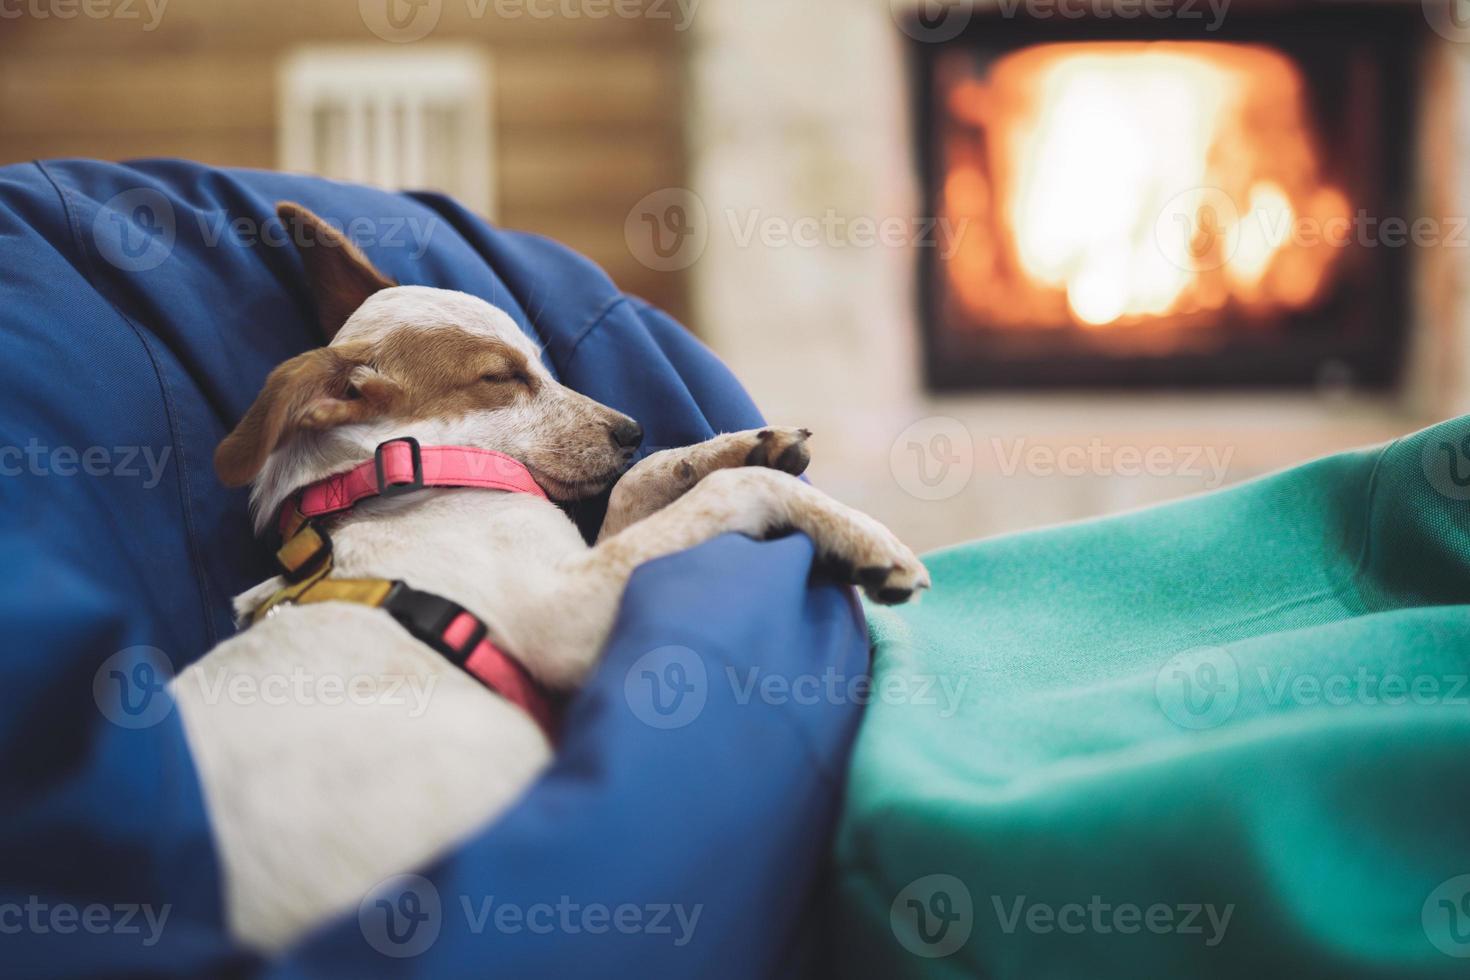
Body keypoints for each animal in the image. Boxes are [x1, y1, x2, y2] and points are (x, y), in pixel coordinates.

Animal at [174, 205, 929, 952]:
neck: (401, 478)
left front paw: (739, 446)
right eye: (501, 377)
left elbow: (645, 481)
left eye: (537, 362)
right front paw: (862, 534)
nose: (632, 427)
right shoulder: (566, 616)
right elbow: (731, 493)